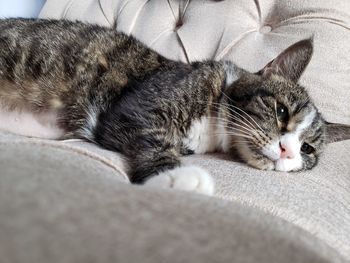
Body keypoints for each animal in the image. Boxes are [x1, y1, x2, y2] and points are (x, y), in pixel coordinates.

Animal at [0, 18, 348, 195]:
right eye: (281, 111)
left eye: (307, 149)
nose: (288, 151)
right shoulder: (135, 108)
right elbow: (155, 138)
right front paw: (176, 177)